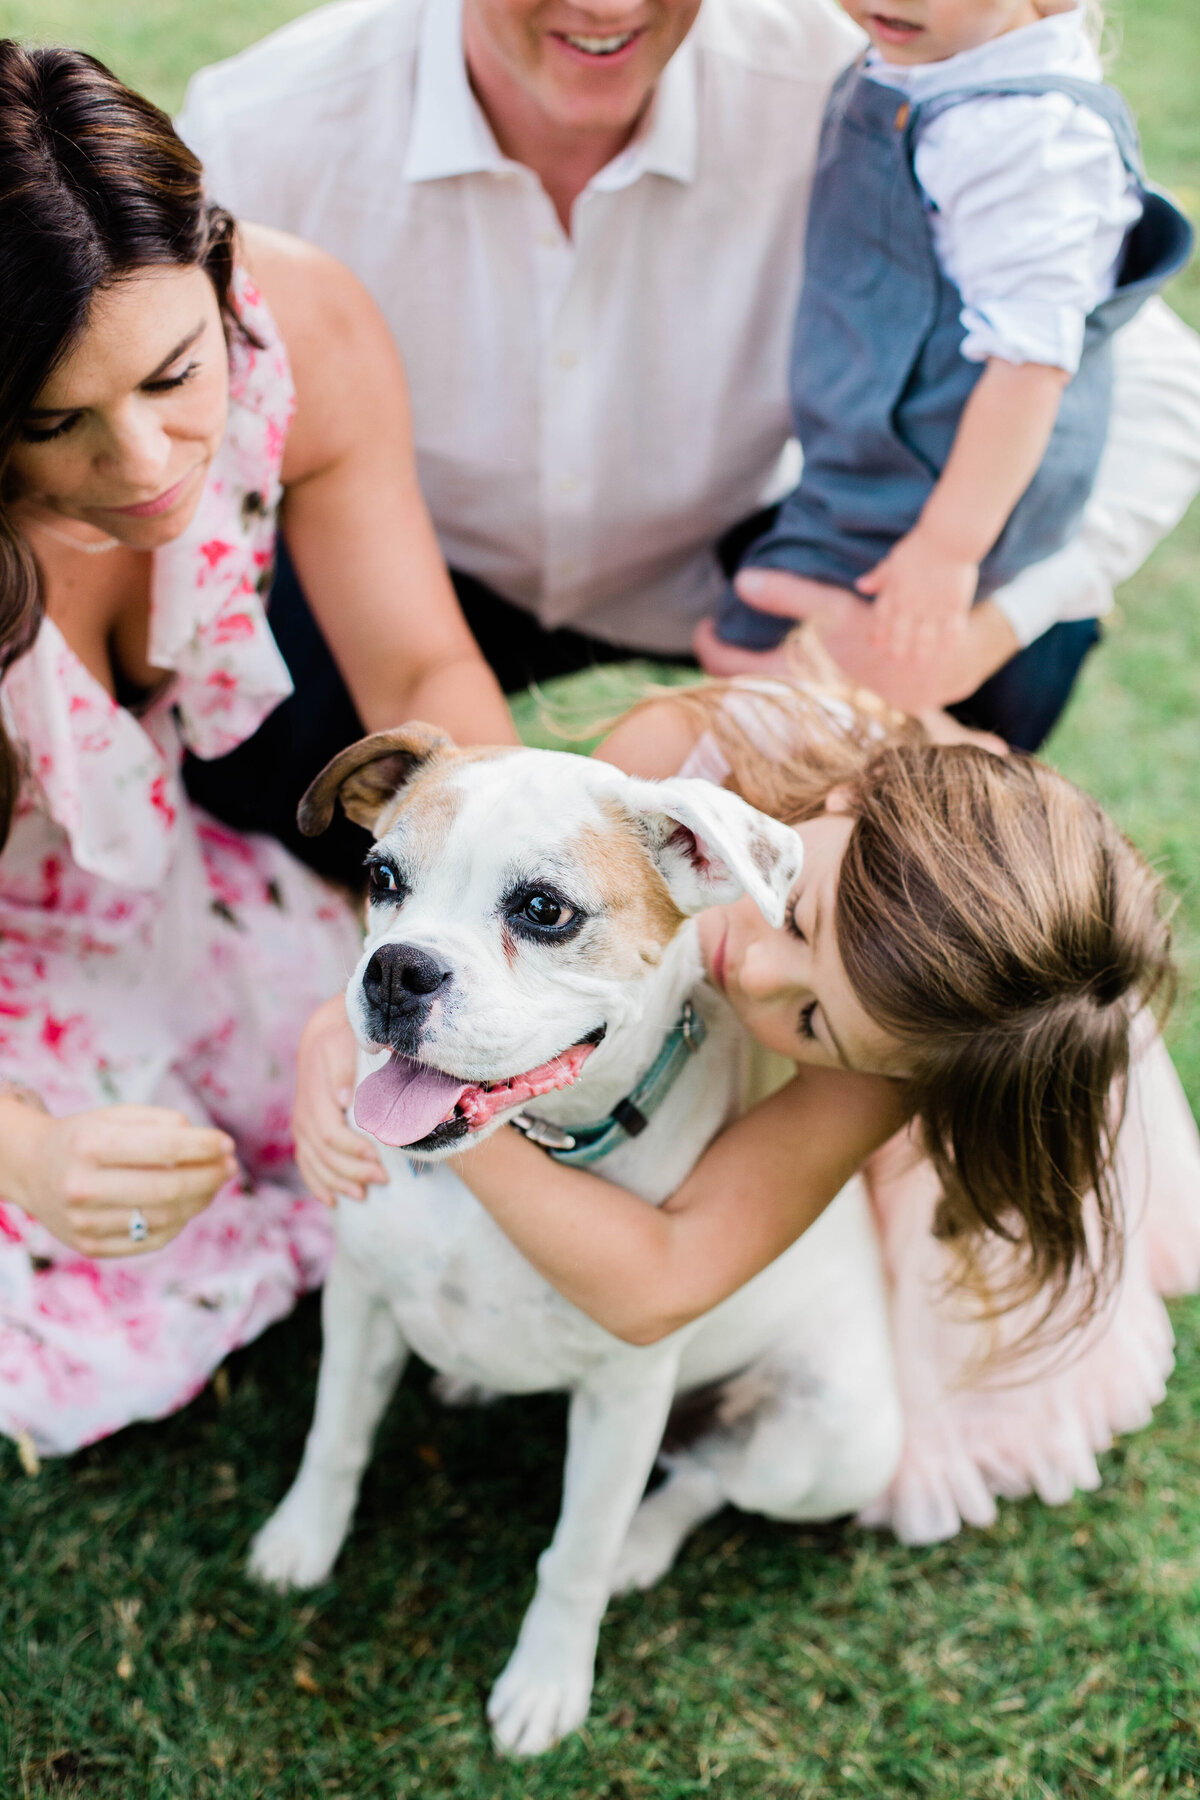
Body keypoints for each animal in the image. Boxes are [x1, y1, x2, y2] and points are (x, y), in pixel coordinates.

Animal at [248, 723, 899, 1749]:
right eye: (382, 877)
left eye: (544, 910)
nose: (396, 969)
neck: (527, 1151)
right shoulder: (359, 1298)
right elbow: (335, 1436)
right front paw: (302, 1539)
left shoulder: (625, 1397)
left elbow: (574, 1556)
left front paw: (547, 1680)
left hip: (832, 1439)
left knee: (708, 1481)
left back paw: (643, 1541)